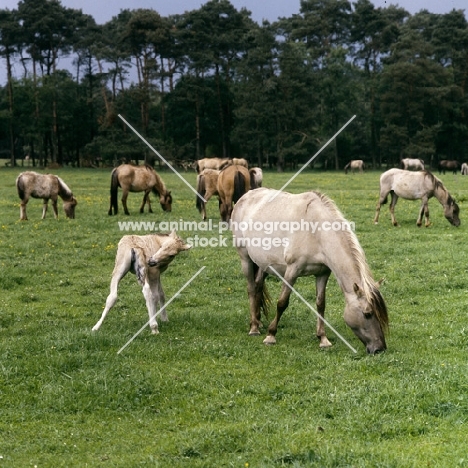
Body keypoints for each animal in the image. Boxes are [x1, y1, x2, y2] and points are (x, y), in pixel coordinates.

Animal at [230, 188, 388, 352]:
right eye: (367, 314)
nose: (380, 348)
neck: (315, 230)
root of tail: (245, 196)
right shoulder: (292, 271)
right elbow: (282, 302)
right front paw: (271, 335)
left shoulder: (323, 273)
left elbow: (320, 304)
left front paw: (323, 338)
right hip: (245, 258)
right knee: (251, 289)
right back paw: (254, 327)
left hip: (263, 263)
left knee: (258, 286)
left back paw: (258, 321)